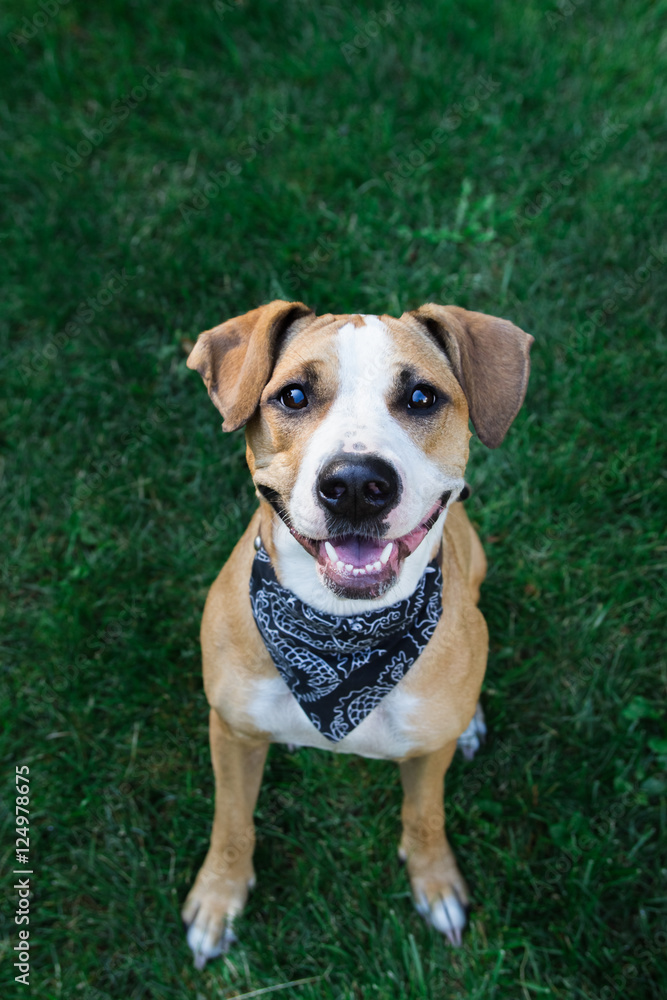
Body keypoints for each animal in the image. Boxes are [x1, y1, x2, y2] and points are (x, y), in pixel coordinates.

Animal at [181, 300, 532, 964]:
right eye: (293, 395)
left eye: (421, 397)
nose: (354, 485)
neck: (340, 633)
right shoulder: (232, 730)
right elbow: (231, 823)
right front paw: (218, 897)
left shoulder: (427, 751)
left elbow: (425, 816)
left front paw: (435, 883)